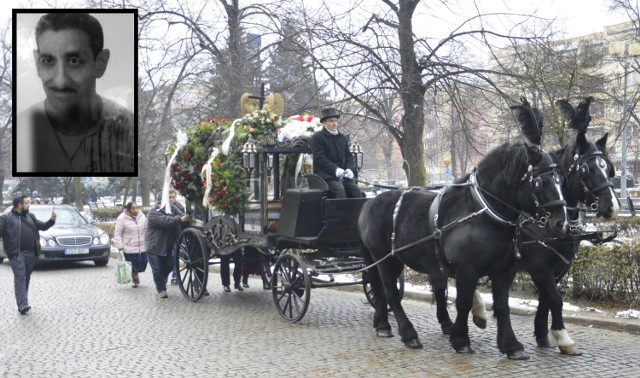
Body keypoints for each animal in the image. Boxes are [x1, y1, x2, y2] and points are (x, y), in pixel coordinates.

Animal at [360, 140, 568, 358]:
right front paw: (461, 340)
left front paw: (511, 345)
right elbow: (464, 302)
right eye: (541, 182)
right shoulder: (467, 270)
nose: (561, 222)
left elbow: (502, 306)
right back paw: (409, 334)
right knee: (390, 292)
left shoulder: (505, 271)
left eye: (562, 180)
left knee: (378, 288)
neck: (482, 213)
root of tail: (370, 202)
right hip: (386, 259)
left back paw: (382, 324)